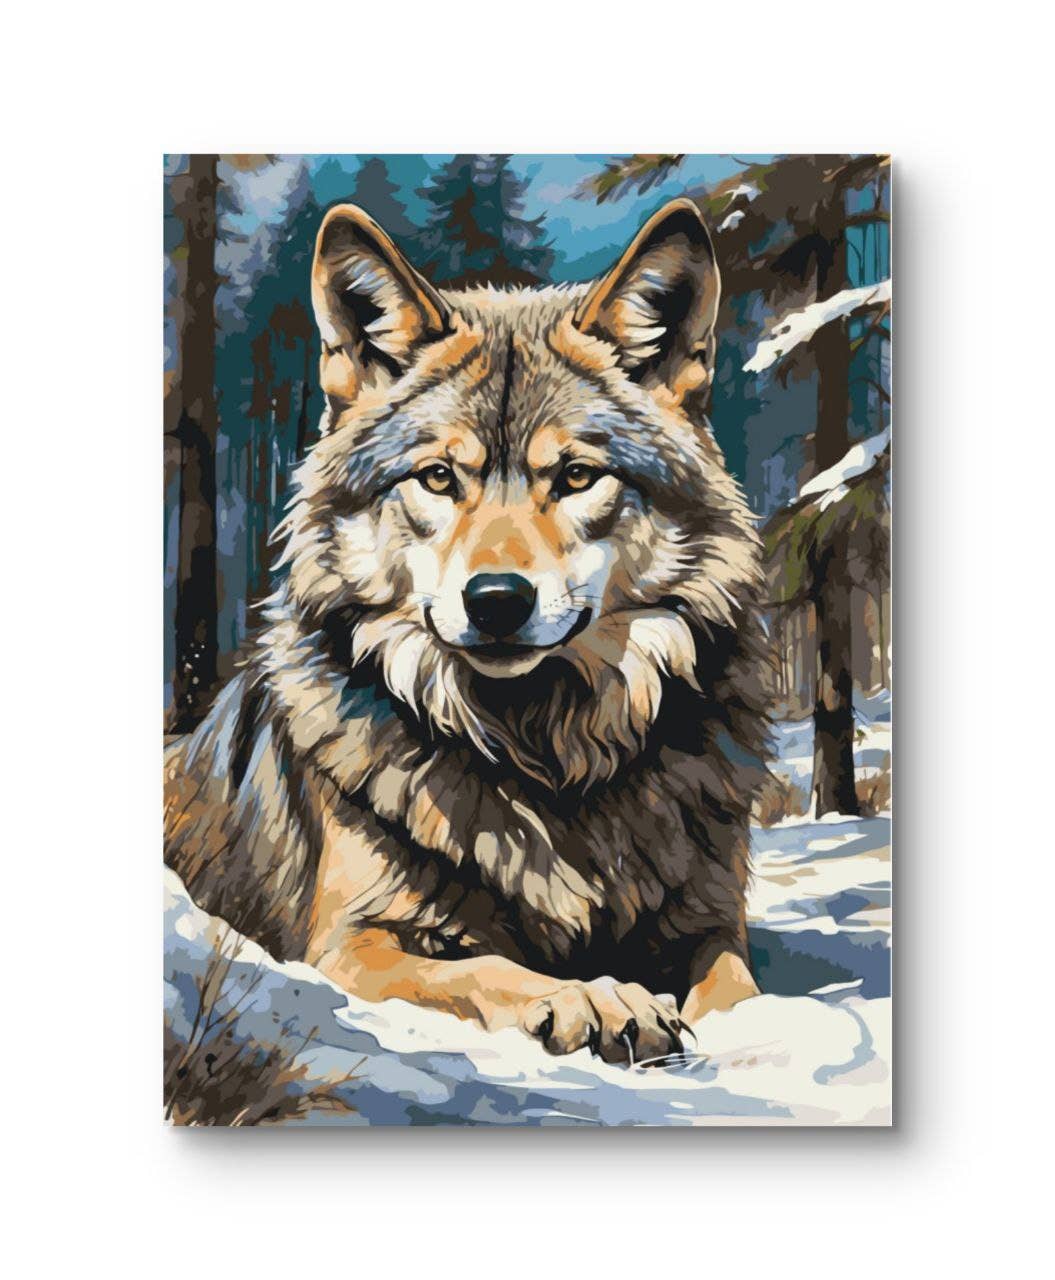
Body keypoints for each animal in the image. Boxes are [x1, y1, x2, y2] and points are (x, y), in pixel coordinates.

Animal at [165, 196, 771, 1064]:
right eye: (439, 477)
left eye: (576, 476)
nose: (495, 601)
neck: (544, 754)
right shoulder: (351, 943)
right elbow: (487, 968)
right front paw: (594, 997)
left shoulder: (710, 923)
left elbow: (736, 986)